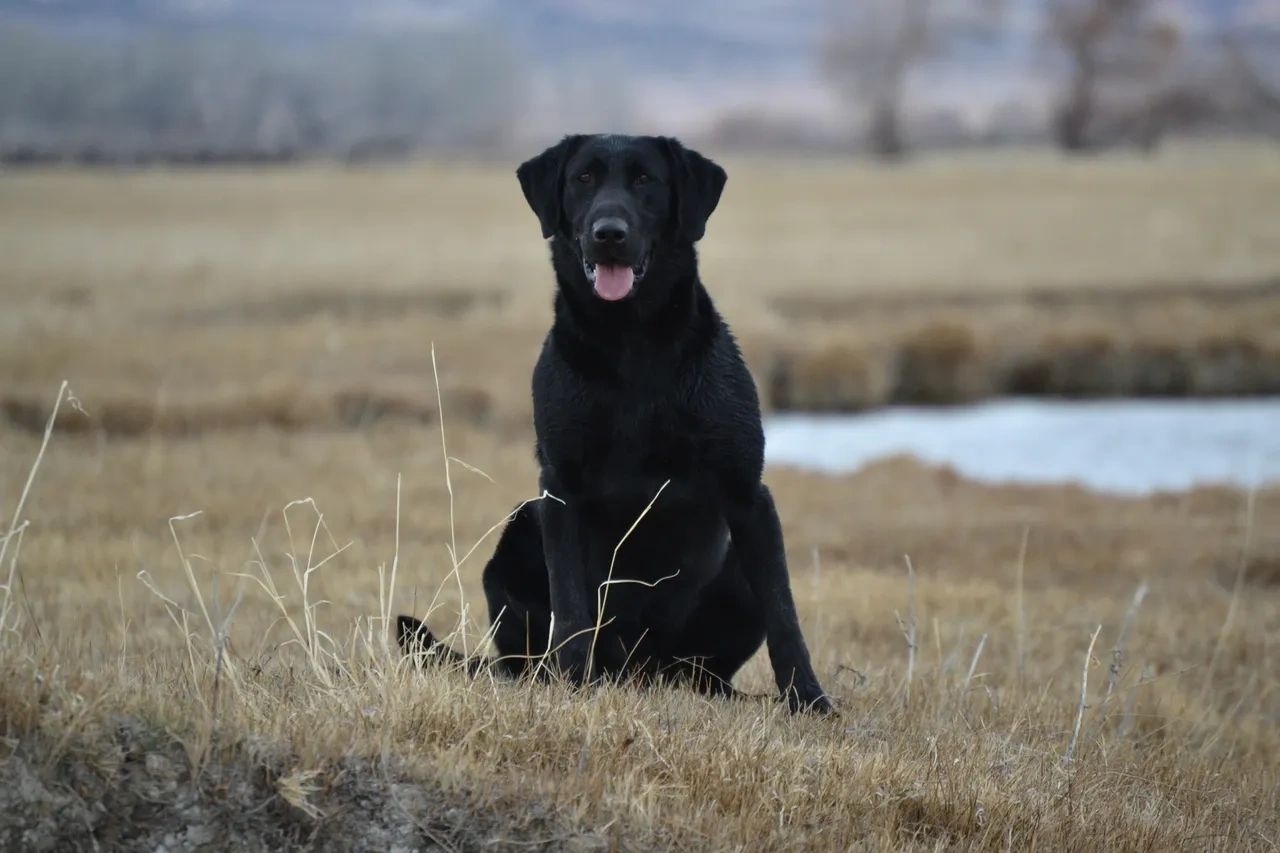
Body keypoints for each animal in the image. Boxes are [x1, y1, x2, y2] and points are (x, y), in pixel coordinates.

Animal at [396, 134, 829, 712]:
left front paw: (810, 699)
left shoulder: (748, 494)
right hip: (521, 525)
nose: (609, 234)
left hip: (731, 574)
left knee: (706, 668)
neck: (632, 345)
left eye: (646, 180)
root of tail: (643, 669)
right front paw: (573, 683)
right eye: (583, 179)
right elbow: (572, 605)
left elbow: (785, 615)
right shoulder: (560, 491)